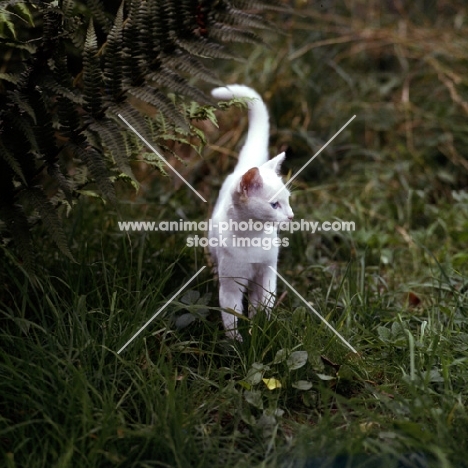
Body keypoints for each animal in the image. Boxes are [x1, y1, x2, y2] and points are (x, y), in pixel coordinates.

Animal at [208, 84, 292, 340]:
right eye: (275, 205)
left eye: (288, 201)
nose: (291, 216)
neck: (253, 238)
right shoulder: (230, 285)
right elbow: (231, 316)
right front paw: (238, 343)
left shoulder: (267, 272)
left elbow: (263, 303)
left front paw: (259, 330)